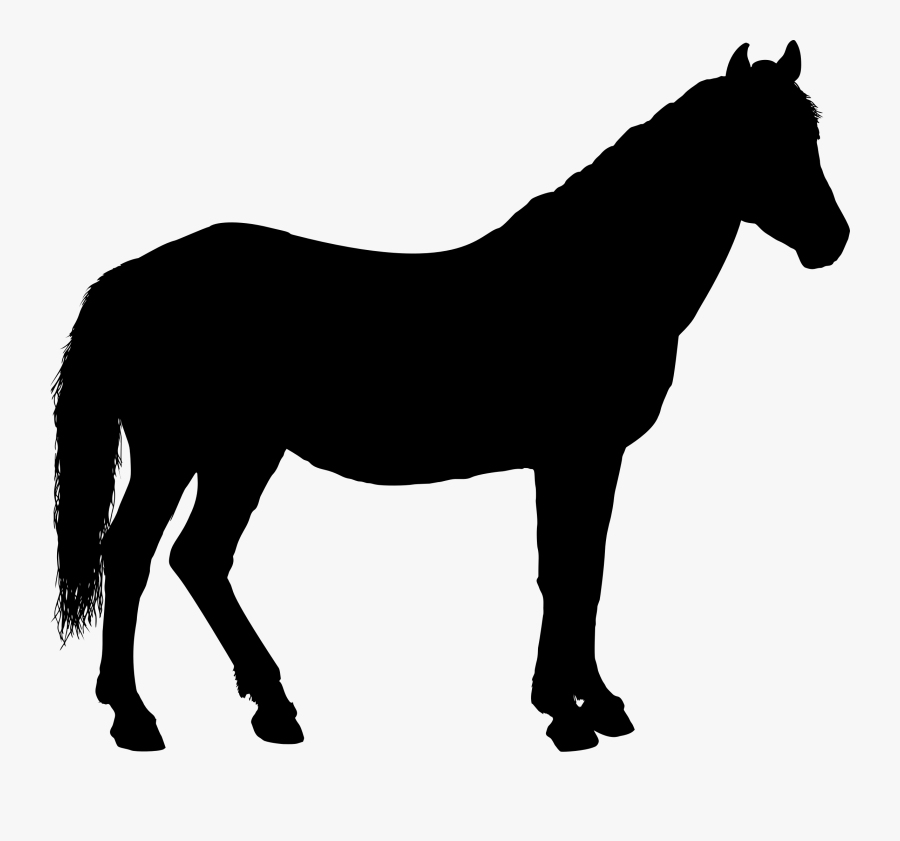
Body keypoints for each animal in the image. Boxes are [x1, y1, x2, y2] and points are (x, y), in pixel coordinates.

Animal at [53, 41, 849, 752]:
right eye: (756, 139)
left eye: (809, 134)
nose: (832, 239)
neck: (595, 276)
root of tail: (128, 280)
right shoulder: (573, 455)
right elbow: (565, 572)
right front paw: (566, 713)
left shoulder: (591, 458)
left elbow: (583, 572)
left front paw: (592, 702)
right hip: (179, 449)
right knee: (132, 555)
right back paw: (135, 717)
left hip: (240, 451)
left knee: (198, 558)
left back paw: (272, 707)